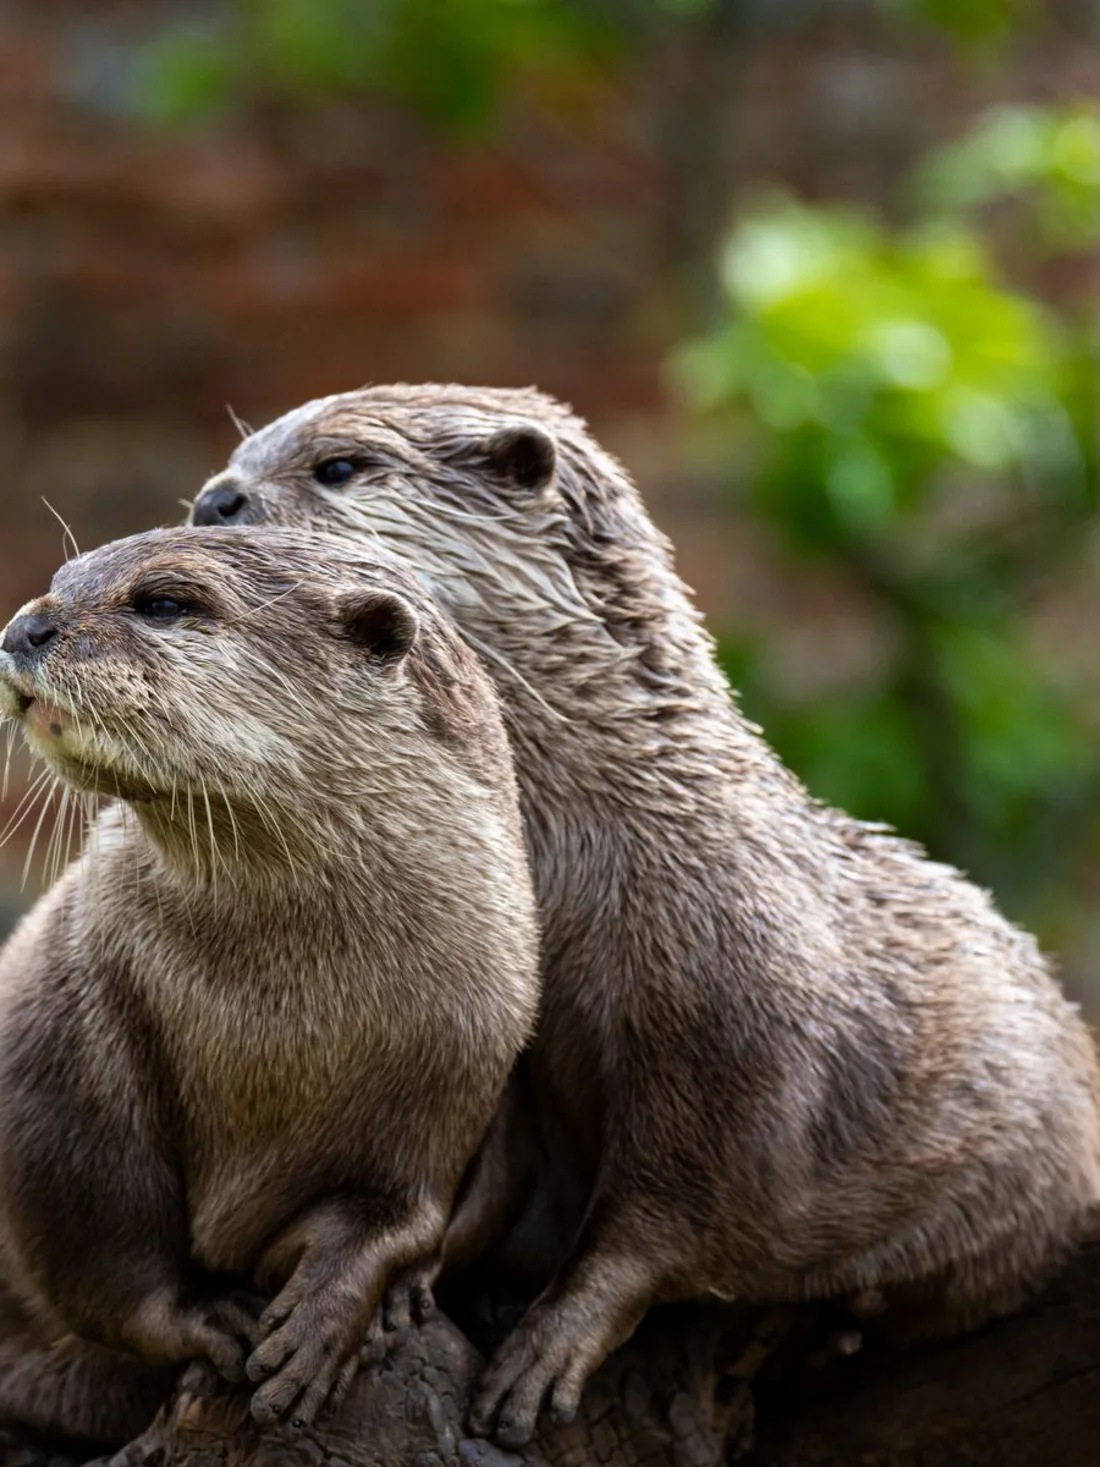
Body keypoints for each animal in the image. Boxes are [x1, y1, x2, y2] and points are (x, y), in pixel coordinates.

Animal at [0, 524, 540, 1442]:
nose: (22, 628)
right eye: (63, 579)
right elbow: (96, 1239)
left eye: (164, 601)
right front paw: (213, 1317)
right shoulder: (59, 1033)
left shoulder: (467, 1054)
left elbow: (404, 1208)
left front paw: (335, 1312)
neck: (281, 1012)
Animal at [189, 384, 1100, 1448]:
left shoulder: (736, 1031)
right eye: (241, 454)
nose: (213, 500)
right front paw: (398, 1286)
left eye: (338, 467)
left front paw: (542, 1350)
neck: (612, 848)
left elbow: (676, 1212)